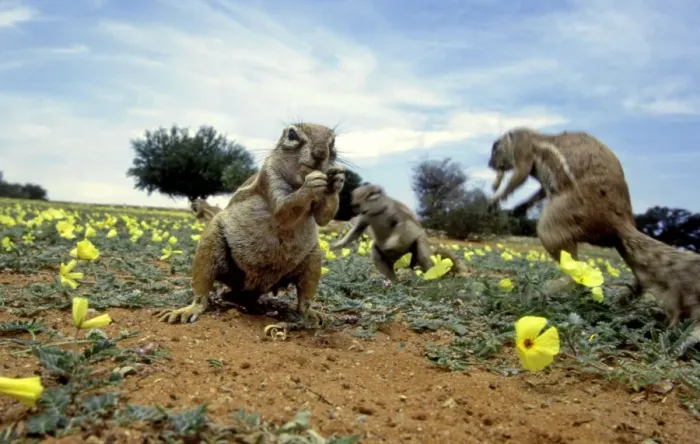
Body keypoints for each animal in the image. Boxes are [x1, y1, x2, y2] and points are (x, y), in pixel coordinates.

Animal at [155, 123, 345, 326]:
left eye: (333, 141)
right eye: (292, 134)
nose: (320, 153)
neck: (297, 181)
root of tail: (249, 290)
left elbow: (324, 217)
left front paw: (338, 180)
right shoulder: (269, 177)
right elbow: (283, 210)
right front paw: (311, 183)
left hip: (313, 259)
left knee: (304, 299)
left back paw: (312, 313)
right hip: (210, 245)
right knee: (202, 291)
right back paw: (188, 309)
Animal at [488, 127, 700, 325]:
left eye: (496, 146)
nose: (490, 164)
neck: (530, 135)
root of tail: (622, 223)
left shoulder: (523, 151)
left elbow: (519, 176)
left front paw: (496, 198)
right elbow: (538, 192)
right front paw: (519, 207)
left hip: (553, 223)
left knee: (574, 268)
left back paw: (538, 293)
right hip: (621, 247)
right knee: (642, 276)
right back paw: (624, 300)